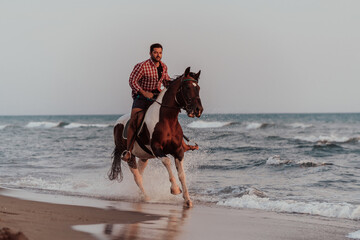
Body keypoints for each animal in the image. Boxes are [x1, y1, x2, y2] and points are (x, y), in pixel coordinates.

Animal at [108, 66, 202, 207]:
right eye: (187, 87)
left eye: (198, 88)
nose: (198, 110)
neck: (167, 120)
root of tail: (117, 123)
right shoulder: (157, 148)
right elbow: (167, 161)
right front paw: (175, 189)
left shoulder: (178, 151)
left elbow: (182, 174)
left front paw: (187, 199)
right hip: (129, 156)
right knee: (137, 177)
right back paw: (146, 197)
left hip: (143, 157)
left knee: (140, 174)